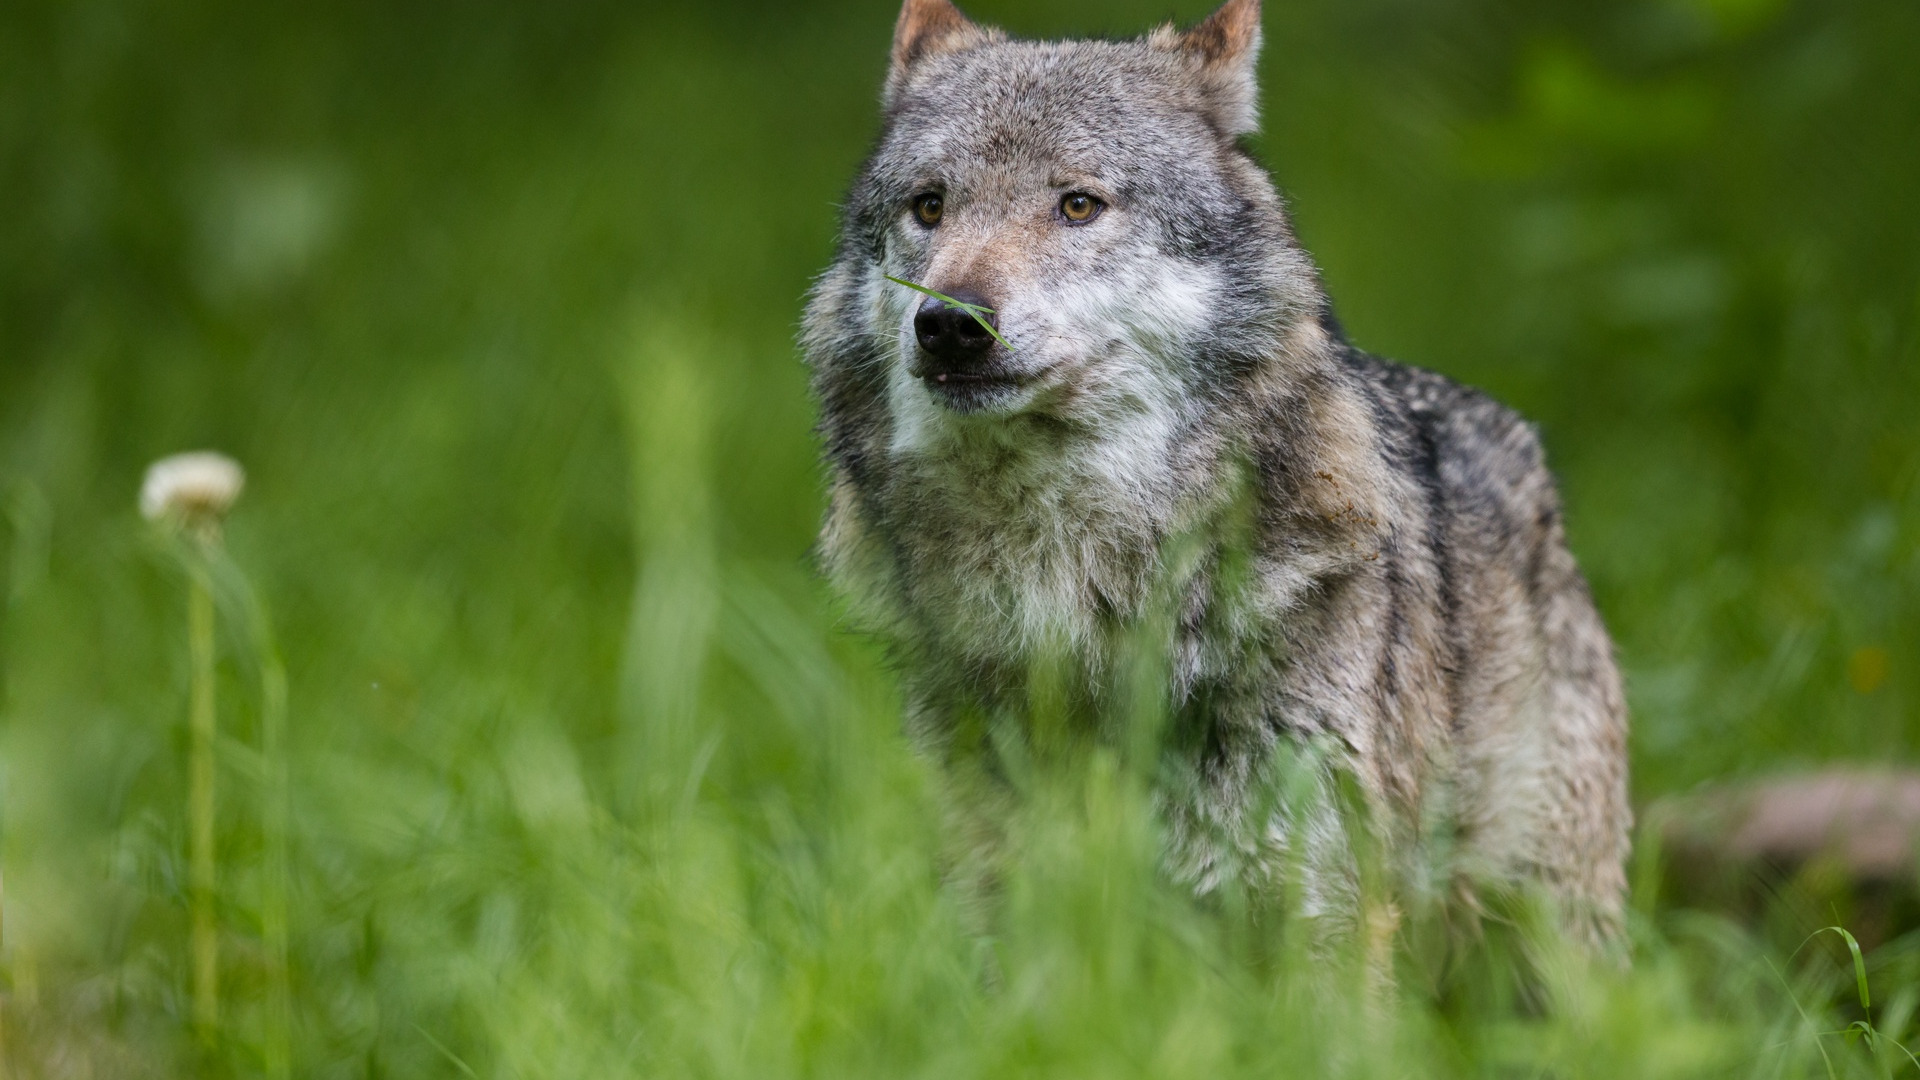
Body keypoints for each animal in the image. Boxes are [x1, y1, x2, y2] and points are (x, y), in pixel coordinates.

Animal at [802, 0, 1628, 941]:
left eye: (1077, 204)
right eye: (930, 206)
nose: (949, 324)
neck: (1071, 595)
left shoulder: (1324, 908)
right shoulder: (997, 902)